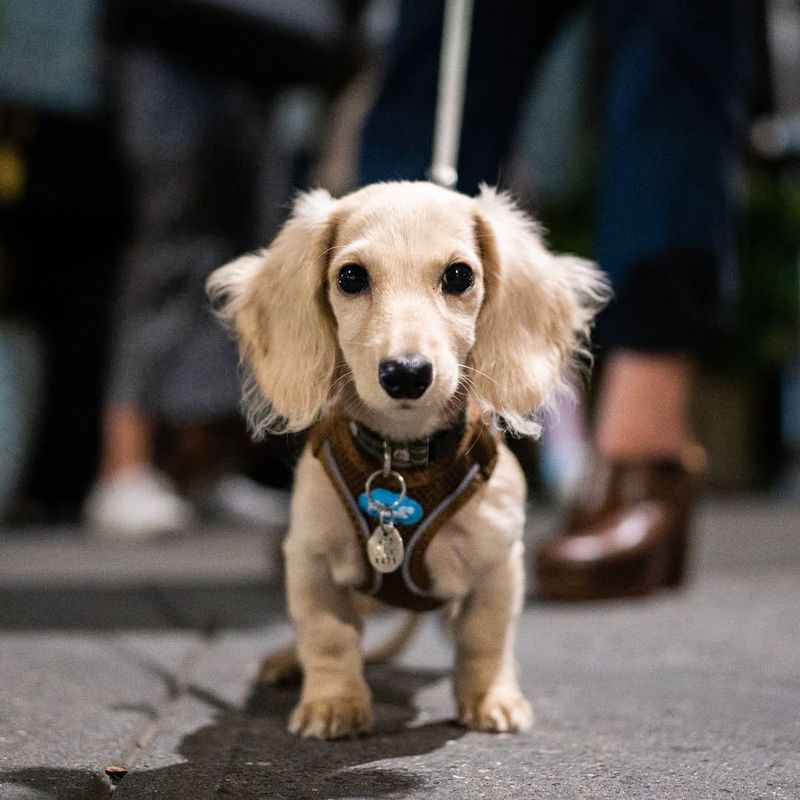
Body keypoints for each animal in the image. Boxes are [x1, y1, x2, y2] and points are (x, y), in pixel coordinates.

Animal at [206, 180, 608, 736]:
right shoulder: (309, 560)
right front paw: (333, 702)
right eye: (351, 277)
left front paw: (490, 696)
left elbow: (485, 637)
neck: (401, 459)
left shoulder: (498, 565)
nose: (406, 373)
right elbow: (328, 636)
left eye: (459, 275)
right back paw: (287, 660)